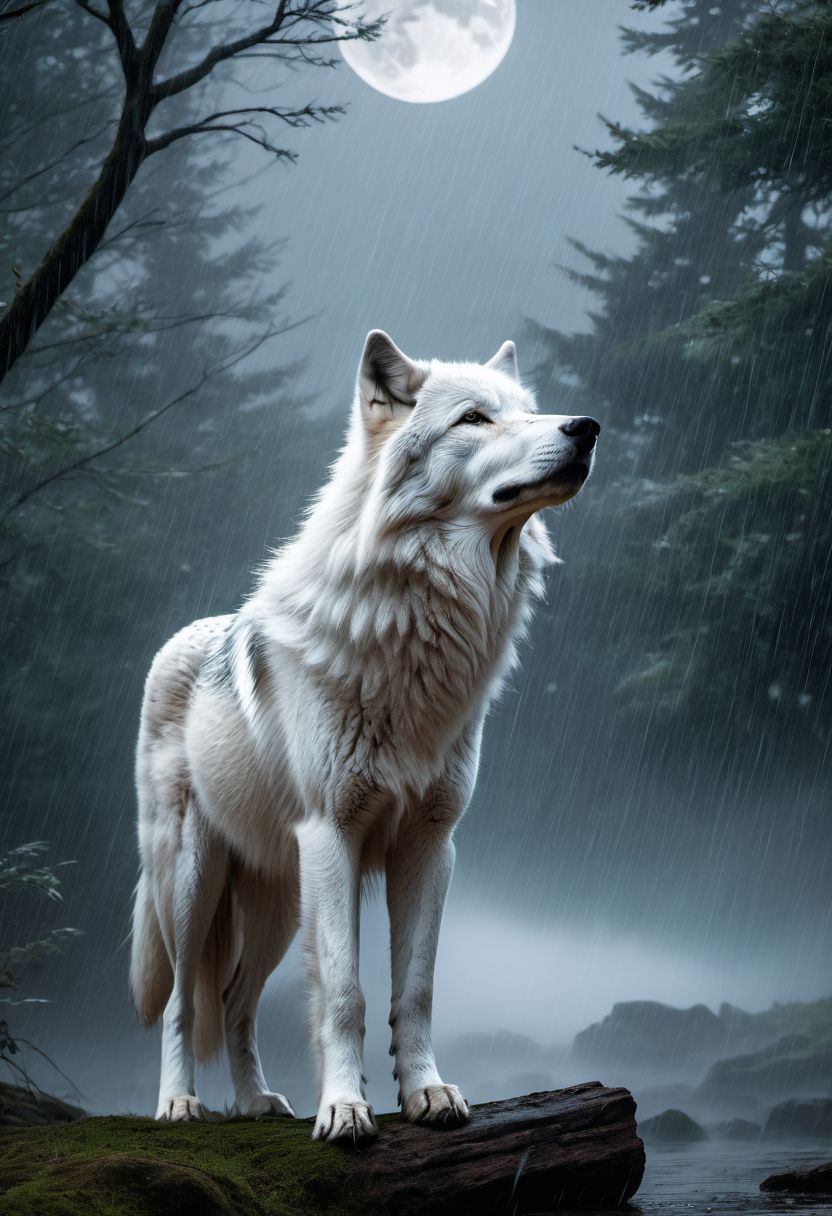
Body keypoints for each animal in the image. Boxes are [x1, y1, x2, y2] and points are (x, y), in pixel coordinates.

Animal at [129, 331, 599, 1141]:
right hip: (194, 883)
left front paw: (428, 1095)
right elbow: (346, 993)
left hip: (281, 902)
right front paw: (345, 1109)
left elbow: (416, 990)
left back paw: (256, 1102)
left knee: (234, 999)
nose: (587, 428)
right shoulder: (334, 836)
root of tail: (180, 639)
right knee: (183, 998)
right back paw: (179, 1103)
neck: (417, 634)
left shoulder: (431, 845)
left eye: (530, 411)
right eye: (475, 419)